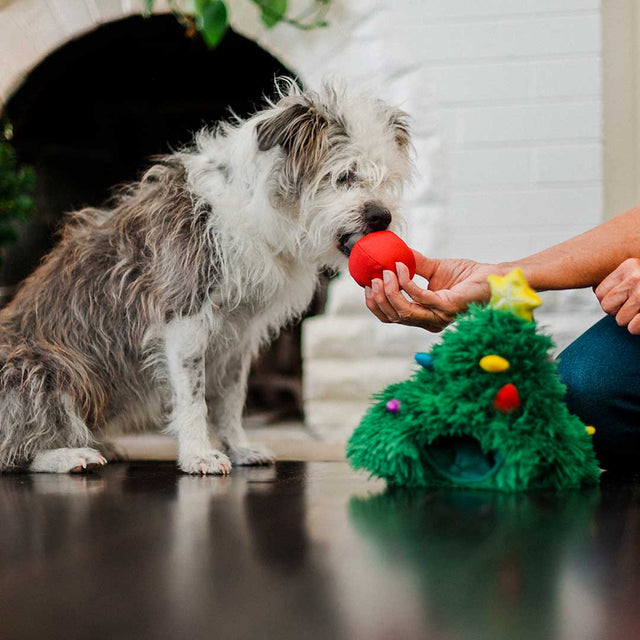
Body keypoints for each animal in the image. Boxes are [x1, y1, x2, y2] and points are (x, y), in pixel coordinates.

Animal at [0, 80, 412, 472]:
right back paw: (69, 456)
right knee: (13, 452)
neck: (255, 213)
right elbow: (193, 399)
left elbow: (231, 400)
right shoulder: (184, 319)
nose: (382, 217)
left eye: (386, 179)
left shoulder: (240, 334)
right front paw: (199, 455)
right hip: (37, 367)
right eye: (344, 176)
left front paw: (239, 447)